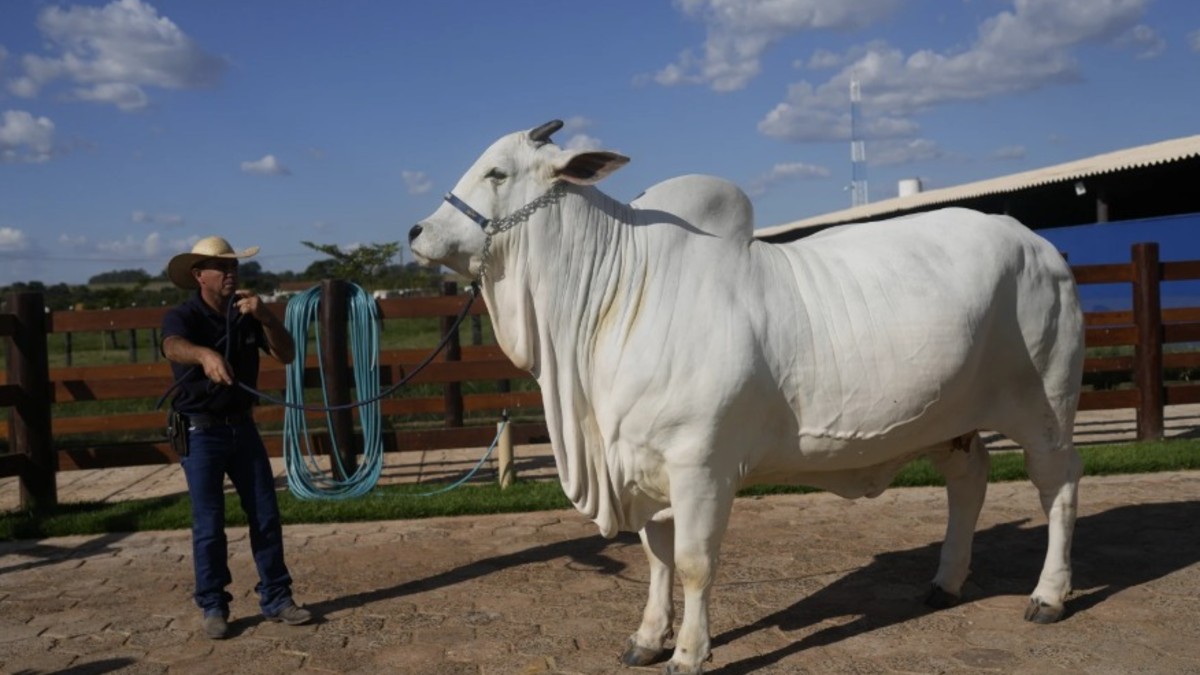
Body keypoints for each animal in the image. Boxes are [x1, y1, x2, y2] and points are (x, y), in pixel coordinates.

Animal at [408, 120, 1084, 674]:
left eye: (497, 172)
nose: (417, 231)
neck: (615, 297)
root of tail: (1039, 244)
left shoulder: (700, 465)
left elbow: (693, 562)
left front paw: (688, 653)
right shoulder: (643, 465)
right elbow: (656, 558)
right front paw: (647, 639)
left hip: (1045, 408)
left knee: (1058, 486)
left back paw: (1048, 595)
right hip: (950, 420)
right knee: (969, 481)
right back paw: (947, 581)